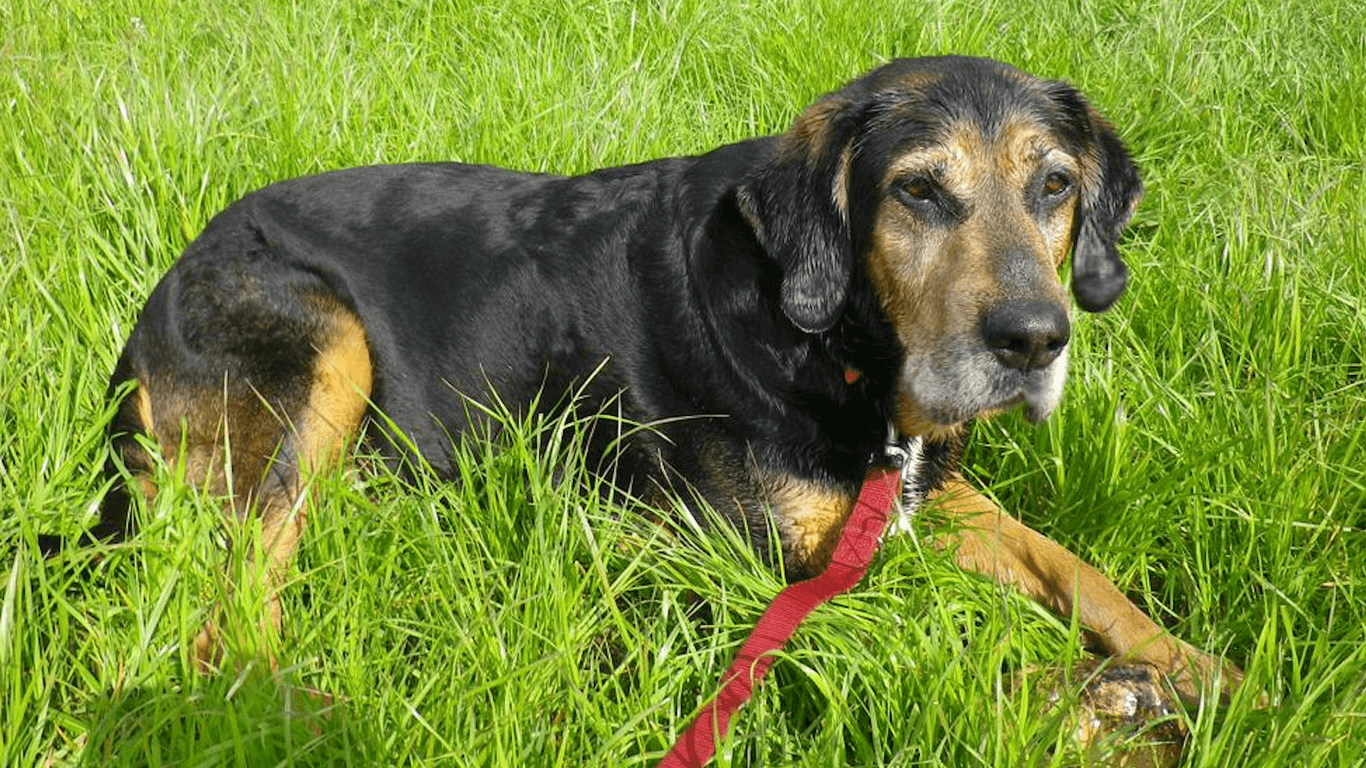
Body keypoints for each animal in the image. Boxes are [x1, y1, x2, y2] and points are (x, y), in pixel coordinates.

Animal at [42, 56, 1245, 705]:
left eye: (1055, 187)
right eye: (917, 192)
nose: (1035, 340)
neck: (826, 336)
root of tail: (154, 300)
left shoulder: (917, 491)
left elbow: (1075, 567)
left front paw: (1210, 675)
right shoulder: (747, 559)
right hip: (320, 337)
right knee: (236, 590)